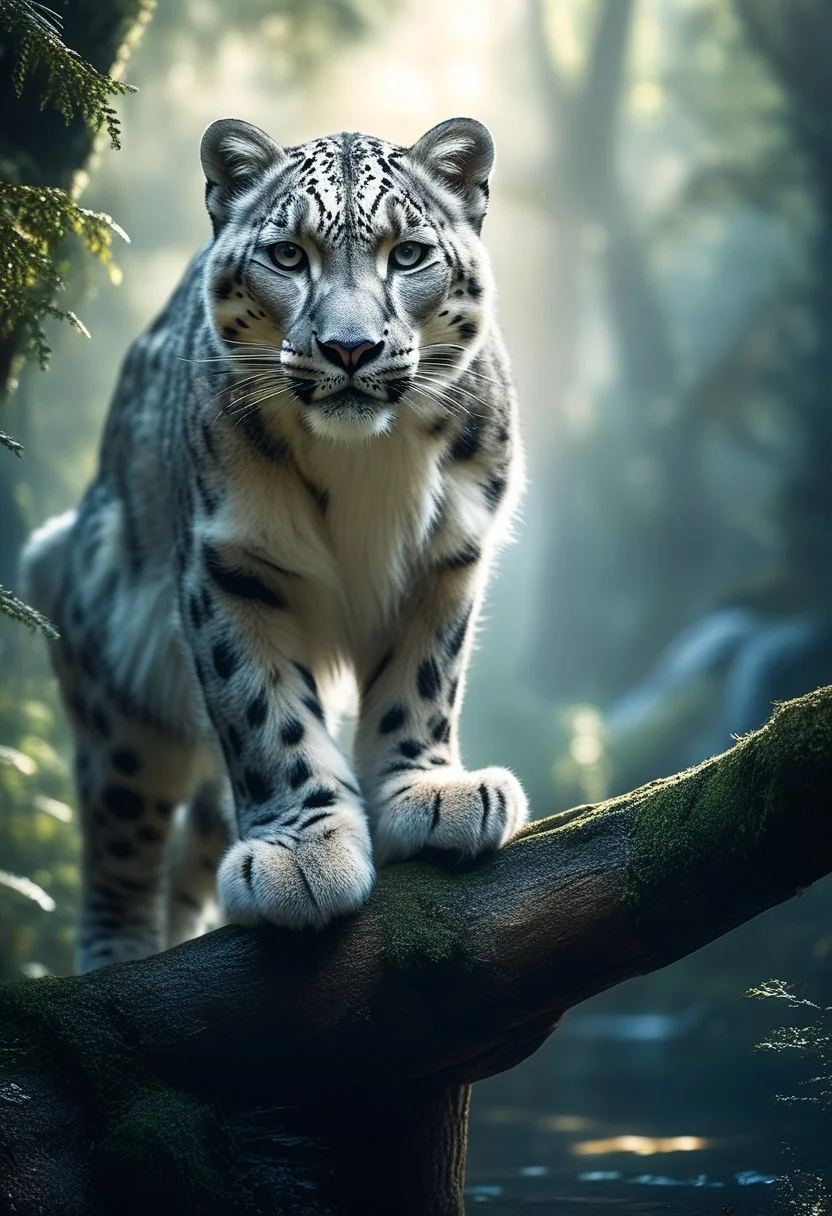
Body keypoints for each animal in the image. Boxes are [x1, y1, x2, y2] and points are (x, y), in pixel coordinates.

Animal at [21, 116, 528, 974]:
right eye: (289, 255)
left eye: (408, 254)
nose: (351, 348)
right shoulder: (230, 564)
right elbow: (263, 714)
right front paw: (302, 854)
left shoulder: (449, 553)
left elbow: (424, 677)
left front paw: (427, 792)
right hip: (110, 684)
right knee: (121, 837)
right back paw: (118, 958)